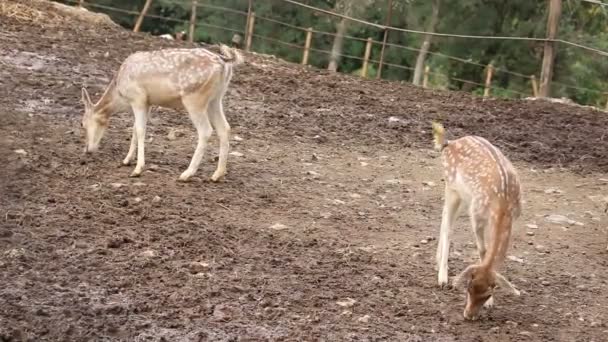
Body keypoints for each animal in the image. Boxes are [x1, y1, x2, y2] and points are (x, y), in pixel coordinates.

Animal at [79, 44, 243, 182]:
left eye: (83, 124)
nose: (87, 150)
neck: (120, 94)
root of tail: (225, 62)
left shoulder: (138, 98)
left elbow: (140, 130)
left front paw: (137, 169)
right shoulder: (148, 103)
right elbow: (134, 128)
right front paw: (126, 160)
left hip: (194, 98)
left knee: (206, 130)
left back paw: (186, 174)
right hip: (216, 99)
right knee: (224, 128)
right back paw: (217, 174)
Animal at [432, 121, 524, 320]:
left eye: (488, 292)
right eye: (468, 287)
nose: (468, 315)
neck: (502, 203)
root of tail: (448, 143)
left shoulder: (514, 216)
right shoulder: (477, 215)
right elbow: (483, 250)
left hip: (461, 195)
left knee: (443, 216)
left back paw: (437, 260)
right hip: (451, 186)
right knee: (448, 226)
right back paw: (442, 278)